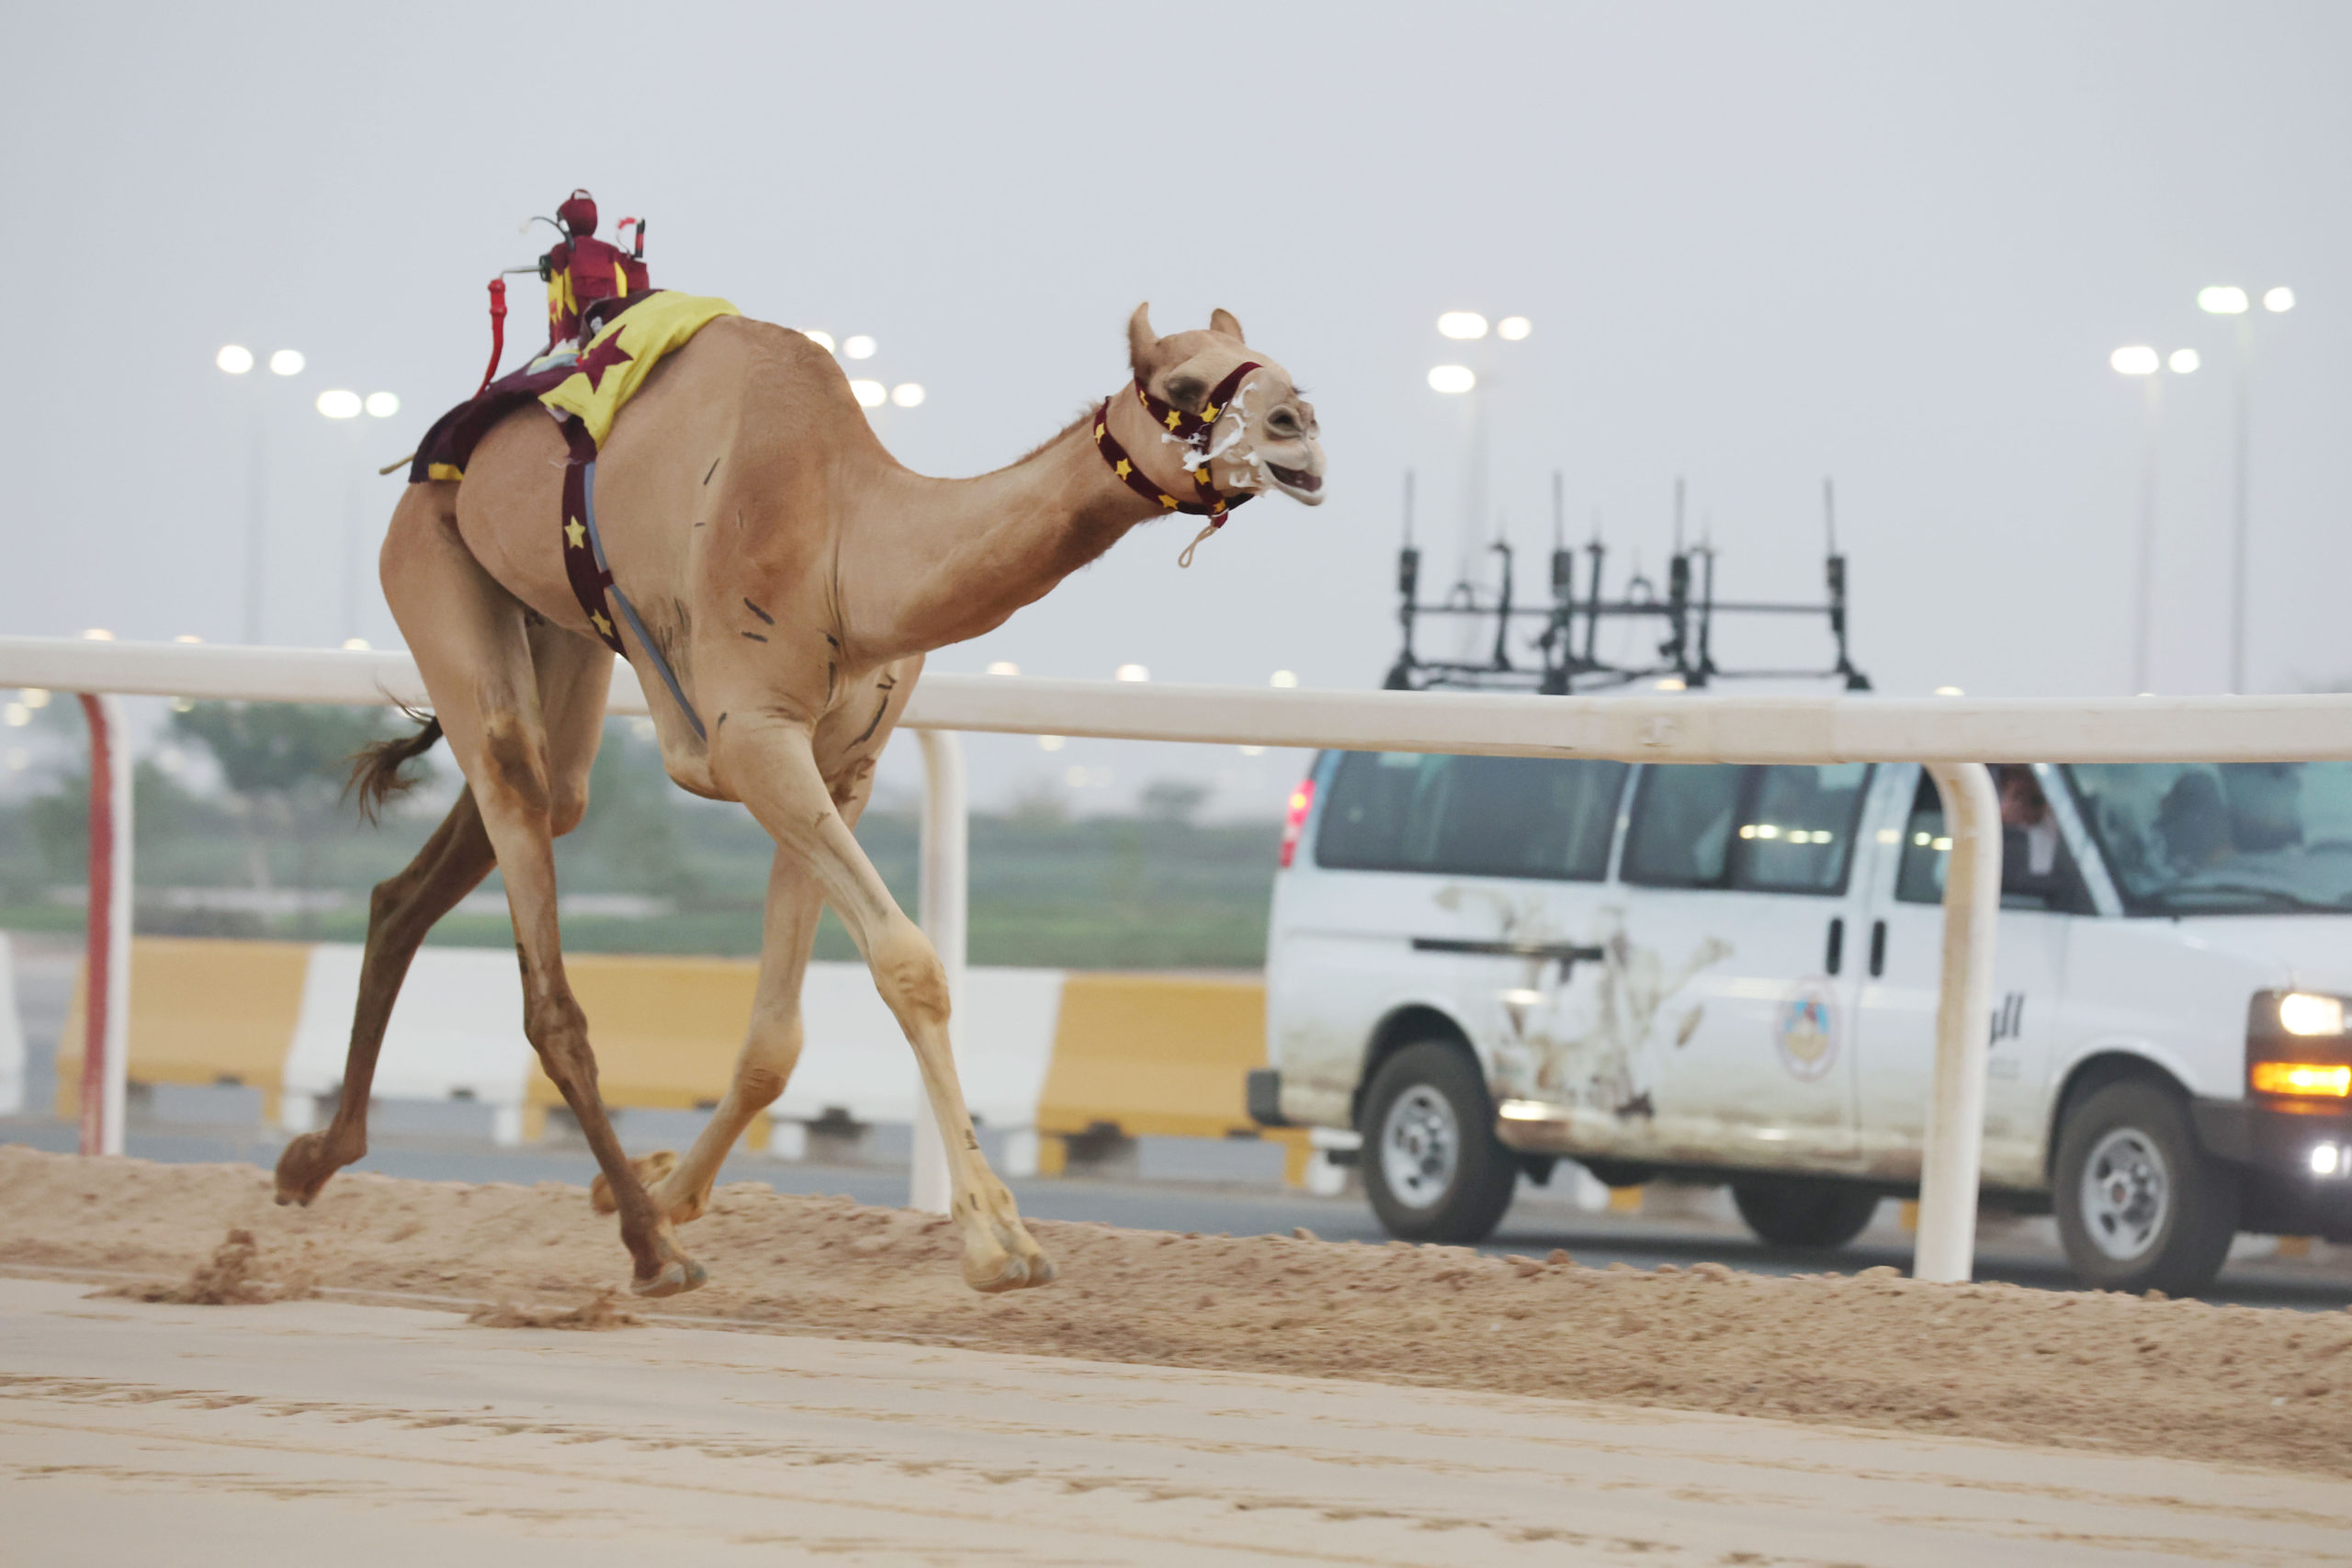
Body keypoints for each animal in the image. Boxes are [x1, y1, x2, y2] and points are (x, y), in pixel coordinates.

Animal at [266, 305, 1326, 1297]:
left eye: (1281, 369)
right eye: (1181, 382)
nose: (1300, 429)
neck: (849, 553)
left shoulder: (841, 769)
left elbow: (776, 1037)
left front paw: (661, 1190)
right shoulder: (752, 742)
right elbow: (908, 964)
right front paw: (998, 1241)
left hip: (552, 626)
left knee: (478, 842)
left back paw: (318, 1158)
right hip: (429, 563)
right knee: (532, 906)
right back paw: (649, 1253)